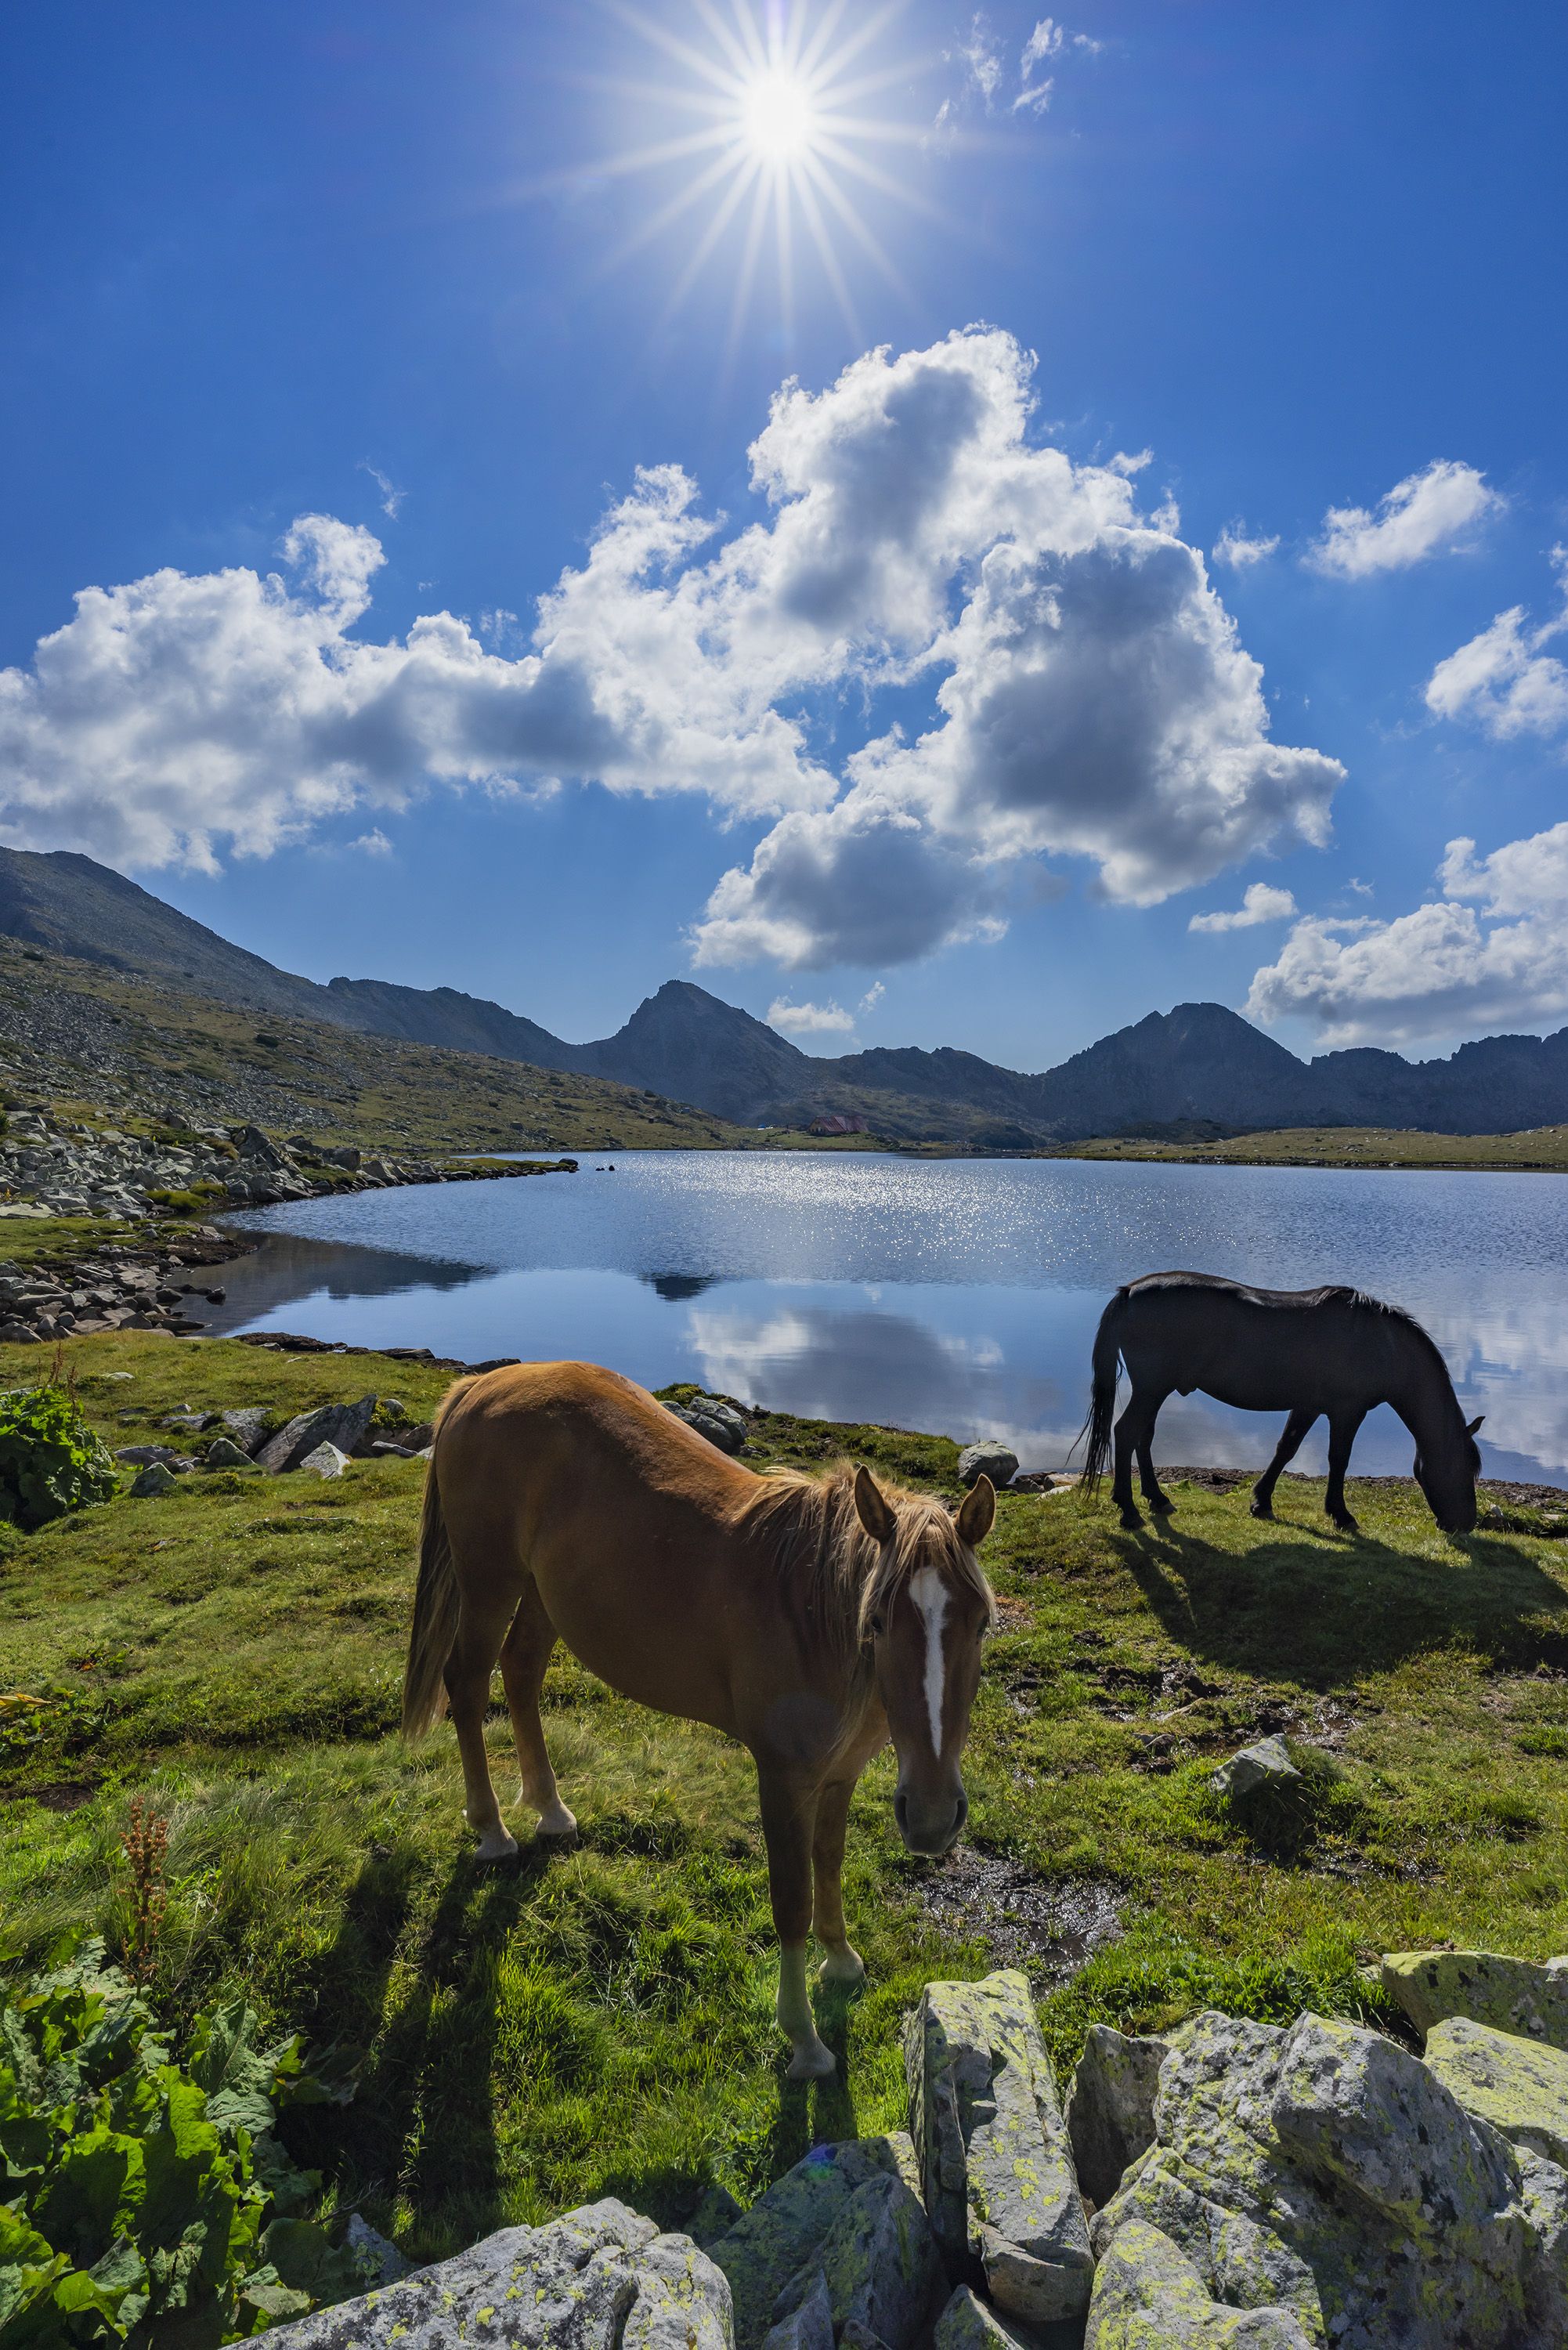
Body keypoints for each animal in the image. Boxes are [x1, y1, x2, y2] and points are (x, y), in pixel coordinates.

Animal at [404, 1363, 992, 2077]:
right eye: (876, 1621)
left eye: (982, 1624)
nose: (933, 1818)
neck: (813, 1616)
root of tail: (481, 1386)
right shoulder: (783, 1779)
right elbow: (791, 1900)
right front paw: (803, 2039)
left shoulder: (840, 1774)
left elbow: (829, 1862)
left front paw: (841, 1958)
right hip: (490, 1580)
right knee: (466, 1684)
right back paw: (491, 1829)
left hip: (542, 1592)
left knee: (520, 1673)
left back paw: (550, 1809)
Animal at [1086, 1278, 1476, 1532]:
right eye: (1463, 1468)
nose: (1468, 1523)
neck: (1380, 1344)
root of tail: (1130, 1292)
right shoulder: (1347, 1412)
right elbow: (1339, 1459)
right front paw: (1341, 1515)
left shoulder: (1308, 1406)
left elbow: (1286, 1449)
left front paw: (1261, 1502)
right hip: (1152, 1389)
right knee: (1127, 1432)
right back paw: (1129, 1510)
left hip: (1154, 1391)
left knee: (1143, 1436)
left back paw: (1157, 1498)